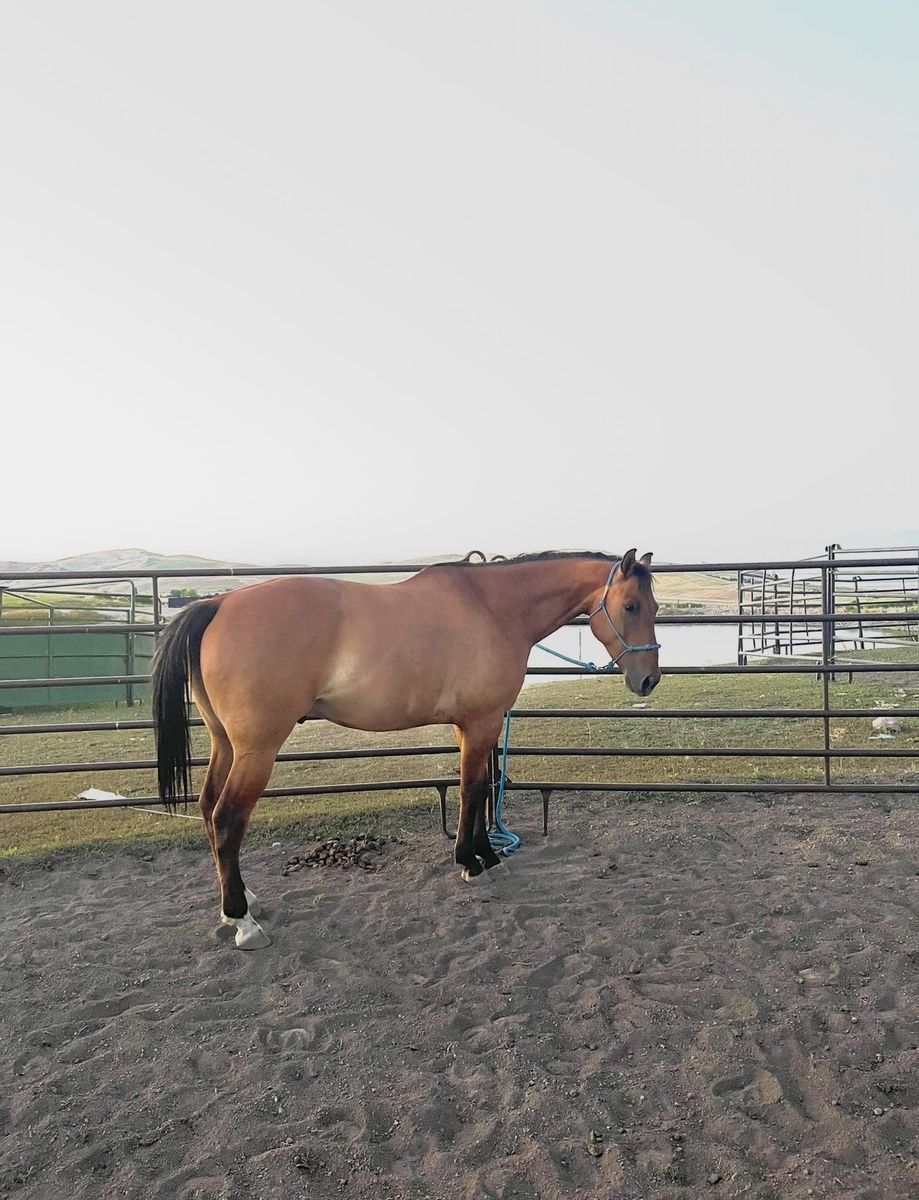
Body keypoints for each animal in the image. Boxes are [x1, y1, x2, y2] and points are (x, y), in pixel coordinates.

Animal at [151, 548, 661, 950]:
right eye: (630, 605)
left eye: (654, 605)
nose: (649, 680)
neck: (492, 609)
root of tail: (218, 603)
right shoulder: (481, 723)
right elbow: (472, 790)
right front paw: (473, 862)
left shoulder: (472, 726)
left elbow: (476, 788)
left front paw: (484, 854)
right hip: (256, 751)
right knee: (227, 819)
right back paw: (243, 920)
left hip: (225, 744)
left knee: (207, 808)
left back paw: (239, 903)